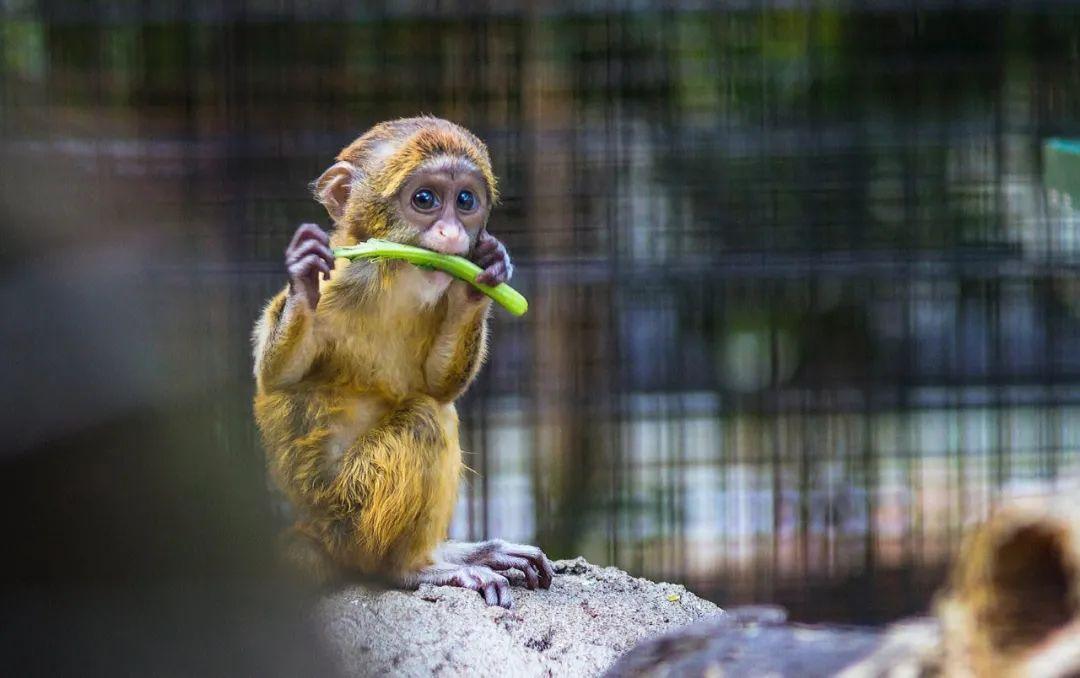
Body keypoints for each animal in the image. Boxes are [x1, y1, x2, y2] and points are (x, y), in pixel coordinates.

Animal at [252, 116, 552, 608]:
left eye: (465, 201)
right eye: (425, 200)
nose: (452, 234)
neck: (393, 278)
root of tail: (313, 531)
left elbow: (437, 385)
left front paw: (482, 277)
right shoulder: (342, 281)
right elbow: (278, 377)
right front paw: (302, 280)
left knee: (434, 408)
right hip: (350, 515)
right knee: (425, 421)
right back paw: (411, 568)